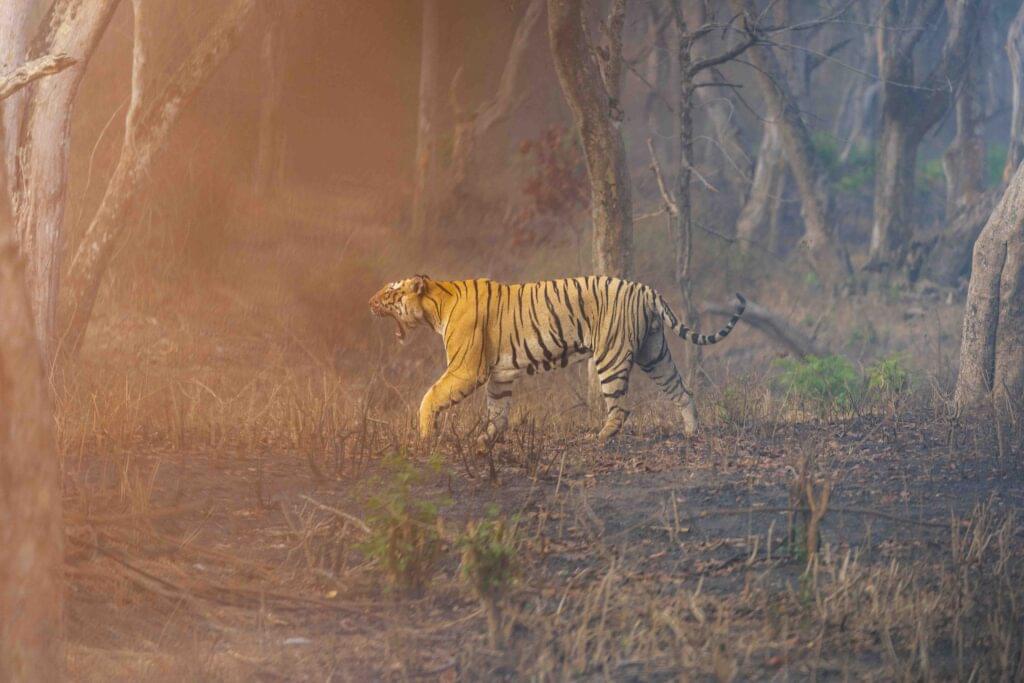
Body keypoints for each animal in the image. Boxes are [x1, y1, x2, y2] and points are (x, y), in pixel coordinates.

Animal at [368, 275, 745, 449]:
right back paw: (691, 430)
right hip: (655, 354)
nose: (369, 302)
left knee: (621, 408)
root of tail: (645, 289)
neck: (437, 304)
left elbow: (430, 396)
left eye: (389, 292)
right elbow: (497, 411)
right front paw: (486, 440)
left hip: (610, 355)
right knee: (682, 392)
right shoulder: (499, 375)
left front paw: (424, 434)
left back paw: (600, 437)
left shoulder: (466, 369)